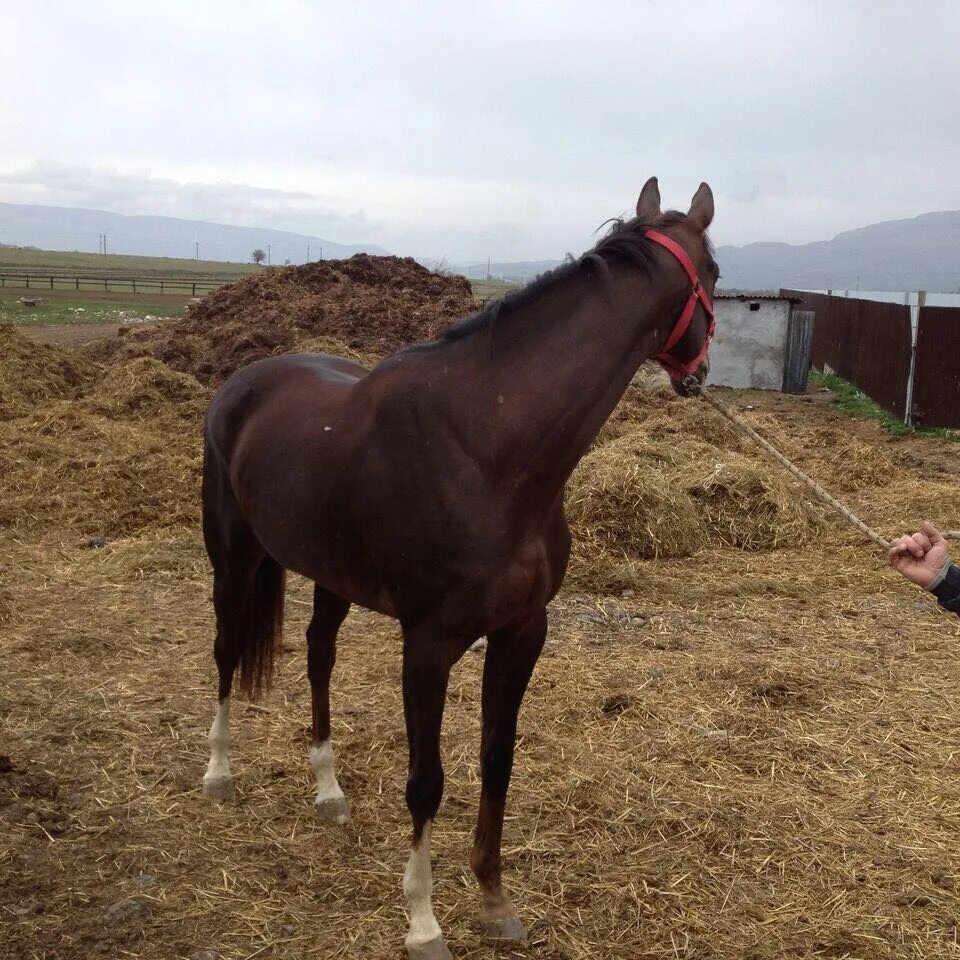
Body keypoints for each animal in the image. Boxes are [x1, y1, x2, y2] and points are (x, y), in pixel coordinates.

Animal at [199, 176, 716, 956]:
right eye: (715, 273)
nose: (702, 373)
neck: (485, 450)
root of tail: (243, 381)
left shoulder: (523, 630)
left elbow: (497, 759)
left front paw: (496, 901)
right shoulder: (429, 644)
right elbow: (427, 781)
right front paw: (422, 920)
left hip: (330, 575)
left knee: (319, 656)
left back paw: (328, 790)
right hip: (232, 557)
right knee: (229, 649)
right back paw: (219, 772)